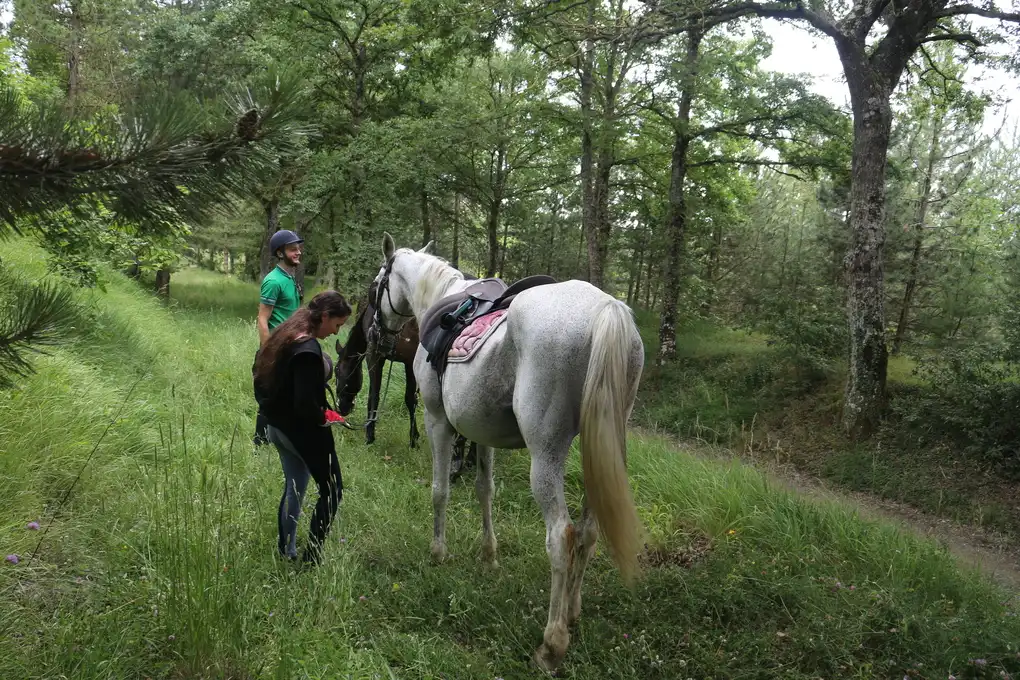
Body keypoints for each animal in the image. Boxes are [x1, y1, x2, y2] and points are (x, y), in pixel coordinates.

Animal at [370, 233, 645, 672]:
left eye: (376, 285)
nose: (376, 334)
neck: (441, 298)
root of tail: (606, 308)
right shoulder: (480, 432)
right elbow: (485, 490)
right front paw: (489, 556)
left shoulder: (437, 420)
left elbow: (439, 490)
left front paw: (438, 552)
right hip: (600, 448)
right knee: (587, 532)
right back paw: (571, 614)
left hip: (545, 455)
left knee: (562, 536)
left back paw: (552, 644)